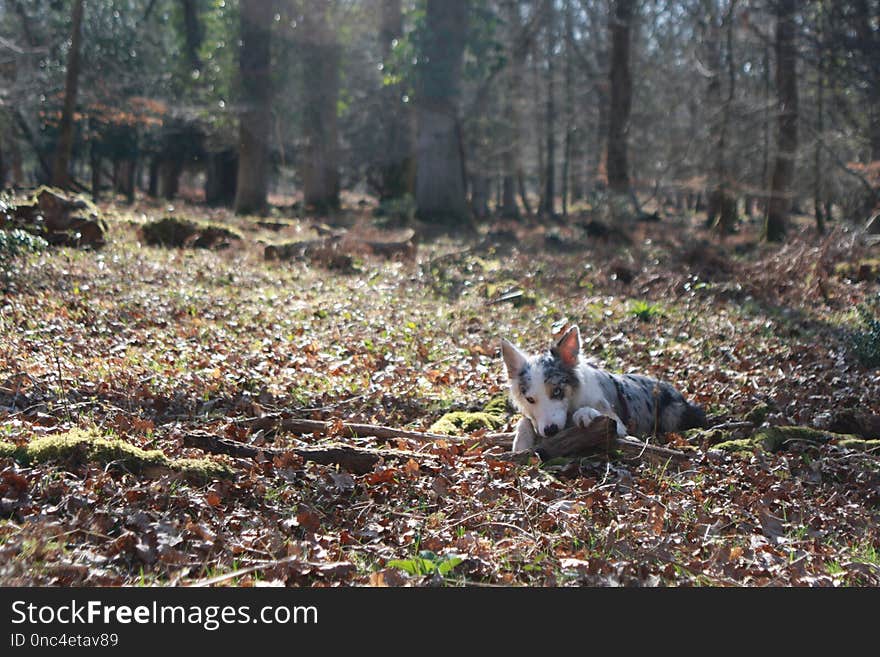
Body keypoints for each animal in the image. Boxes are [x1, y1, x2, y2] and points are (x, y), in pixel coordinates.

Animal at [502, 324, 708, 452]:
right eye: (530, 399)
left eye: (557, 391)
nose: (550, 430)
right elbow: (524, 421)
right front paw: (521, 443)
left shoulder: (618, 424)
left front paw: (585, 414)